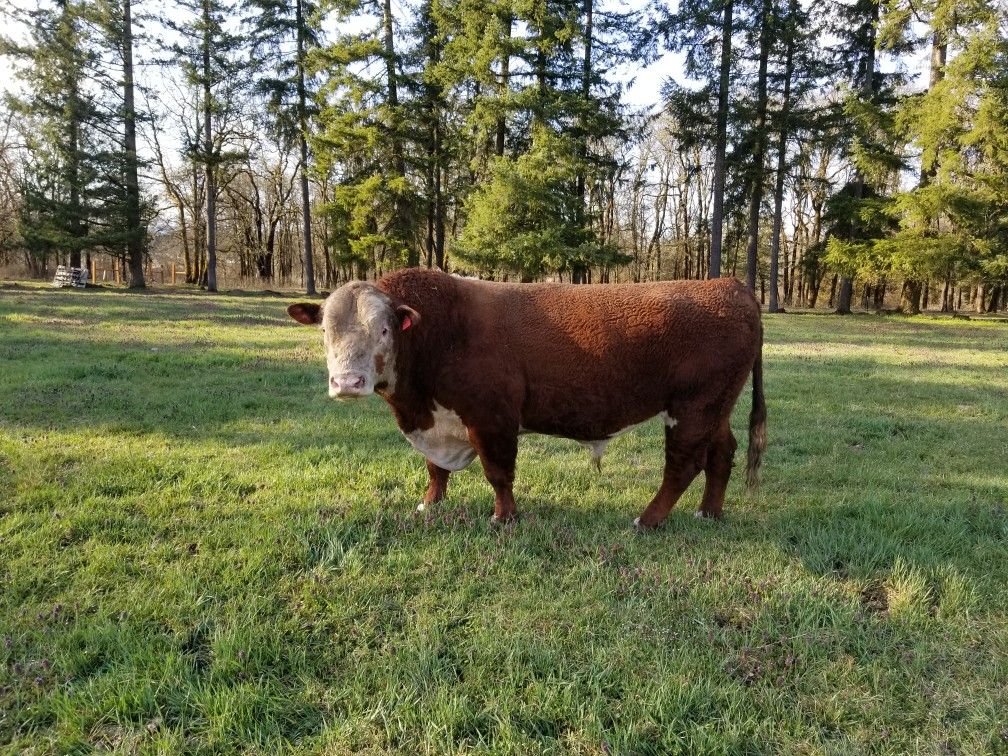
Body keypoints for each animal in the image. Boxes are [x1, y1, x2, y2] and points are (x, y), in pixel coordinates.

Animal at [287, 268, 766, 528]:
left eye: (384, 330)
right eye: (326, 330)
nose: (348, 383)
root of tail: (729, 285)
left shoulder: (492, 417)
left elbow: (498, 473)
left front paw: (503, 517)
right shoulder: (439, 421)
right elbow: (435, 469)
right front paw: (430, 503)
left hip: (692, 408)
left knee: (683, 465)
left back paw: (647, 520)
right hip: (717, 406)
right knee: (722, 452)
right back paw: (709, 512)